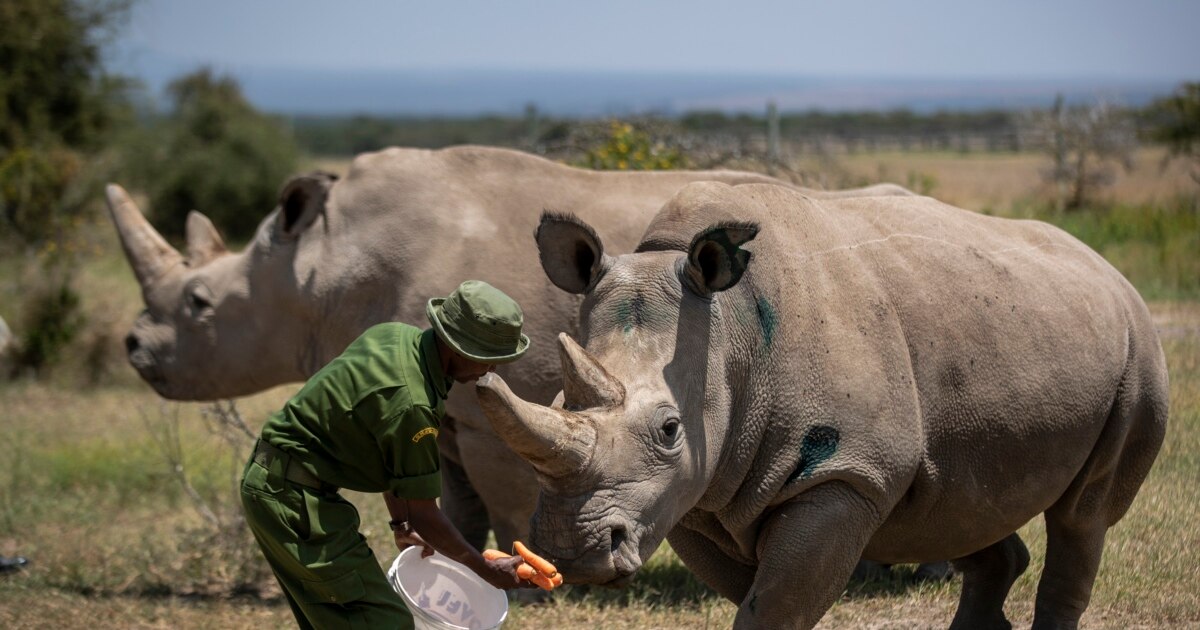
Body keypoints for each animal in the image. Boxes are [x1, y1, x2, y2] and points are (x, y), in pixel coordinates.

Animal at [106, 145, 912, 552]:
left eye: (198, 305)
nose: (133, 346)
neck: (317, 263)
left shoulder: (502, 402)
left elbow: (504, 491)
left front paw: (536, 571)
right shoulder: (446, 409)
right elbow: (452, 497)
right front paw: (447, 560)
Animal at [475, 181, 1168, 629]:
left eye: (670, 429)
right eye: (557, 398)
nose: (570, 549)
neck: (730, 336)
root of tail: (1105, 267)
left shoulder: (845, 472)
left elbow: (773, 609)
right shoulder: (698, 491)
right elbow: (756, 598)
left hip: (1138, 352)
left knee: (1083, 515)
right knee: (957, 499)